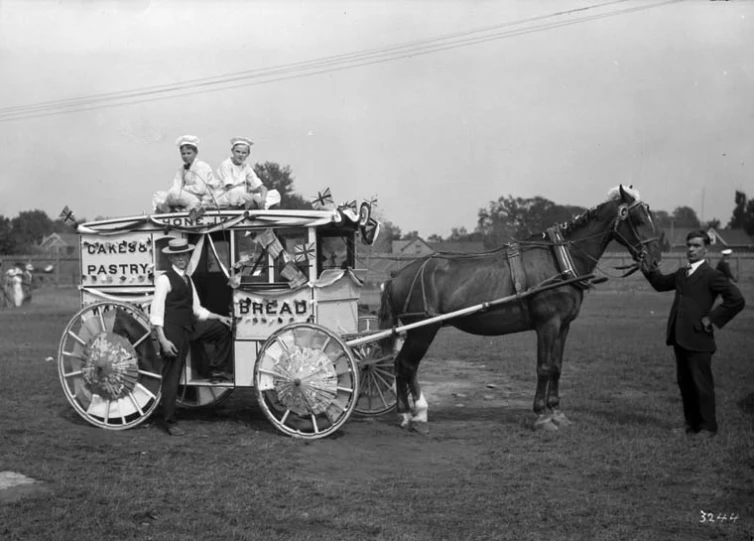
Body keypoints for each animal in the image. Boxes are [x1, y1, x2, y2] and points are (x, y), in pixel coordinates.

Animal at [376, 185, 656, 430]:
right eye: (637, 219)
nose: (654, 260)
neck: (560, 260)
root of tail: (397, 275)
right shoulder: (547, 324)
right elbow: (543, 367)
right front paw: (542, 414)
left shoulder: (563, 326)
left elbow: (557, 367)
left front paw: (556, 411)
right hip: (423, 329)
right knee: (405, 364)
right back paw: (409, 413)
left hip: (421, 330)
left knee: (404, 365)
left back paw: (415, 412)